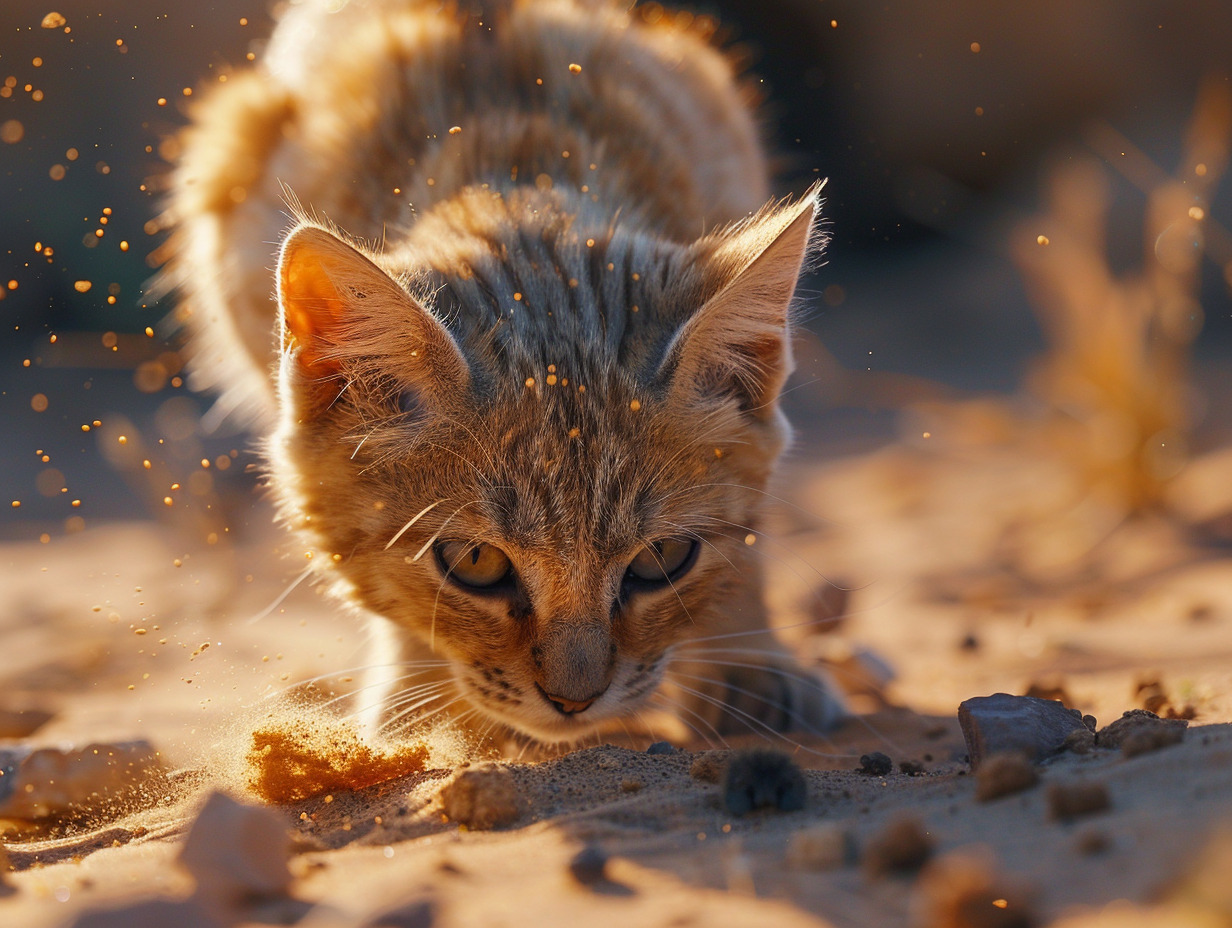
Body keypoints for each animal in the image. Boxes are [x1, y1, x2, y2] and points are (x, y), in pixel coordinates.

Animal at [166, 0, 847, 744]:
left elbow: (747, 526)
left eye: (663, 558)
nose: (576, 699)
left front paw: (749, 657)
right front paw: (425, 698)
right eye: (474, 563)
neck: (517, 170)